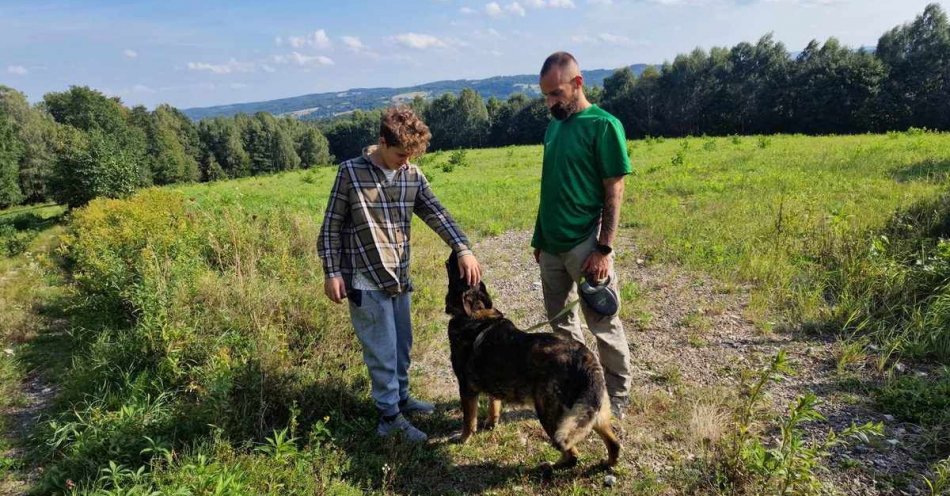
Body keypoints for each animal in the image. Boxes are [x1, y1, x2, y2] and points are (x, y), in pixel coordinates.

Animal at [446, 252, 624, 468]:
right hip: (593, 414)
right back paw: (608, 464)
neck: (476, 313)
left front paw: (463, 439)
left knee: (572, 453)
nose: (457, 252)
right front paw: (491, 423)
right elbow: (493, 405)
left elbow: (468, 420)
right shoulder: (493, 384)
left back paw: (552, 466)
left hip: (551, 416)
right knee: (613, 444)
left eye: (459, 272)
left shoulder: (466, 389)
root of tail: (587, 361)